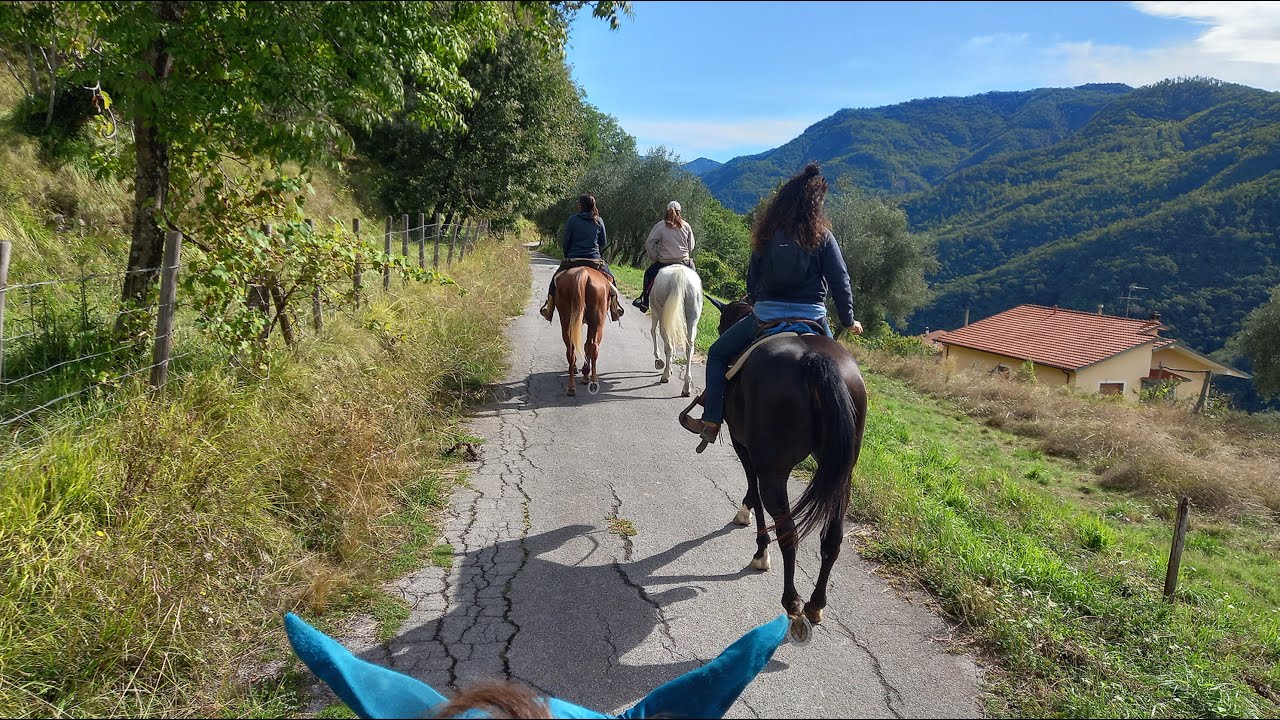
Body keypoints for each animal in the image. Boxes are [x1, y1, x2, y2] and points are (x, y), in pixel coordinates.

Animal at [554, 265, 610, 396]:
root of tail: (583, 274)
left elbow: (585, 345)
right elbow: (587, 345)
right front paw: (585, 374)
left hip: (566, 320)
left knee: (571, 348)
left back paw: (571, 386)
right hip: (598, 323)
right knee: (593, 346)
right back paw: (593, 381)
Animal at [649, 264, 703, 397]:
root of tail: (680, 275)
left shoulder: (655, 313)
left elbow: (653, 332)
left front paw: (659, 361)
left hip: (661, 314)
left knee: (667, 344)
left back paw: (665, 375)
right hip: (692, 319)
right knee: (689, 348)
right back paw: (686, 387)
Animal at [690, 298, 867, 638]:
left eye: (721, 324)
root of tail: (814, 360)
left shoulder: (744, 447)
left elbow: (753, 491)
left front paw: (758, 545)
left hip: (774, 472)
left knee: (787, 532)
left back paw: (792, 602)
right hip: (842, 475)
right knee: (832, 537)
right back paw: (816, 604)